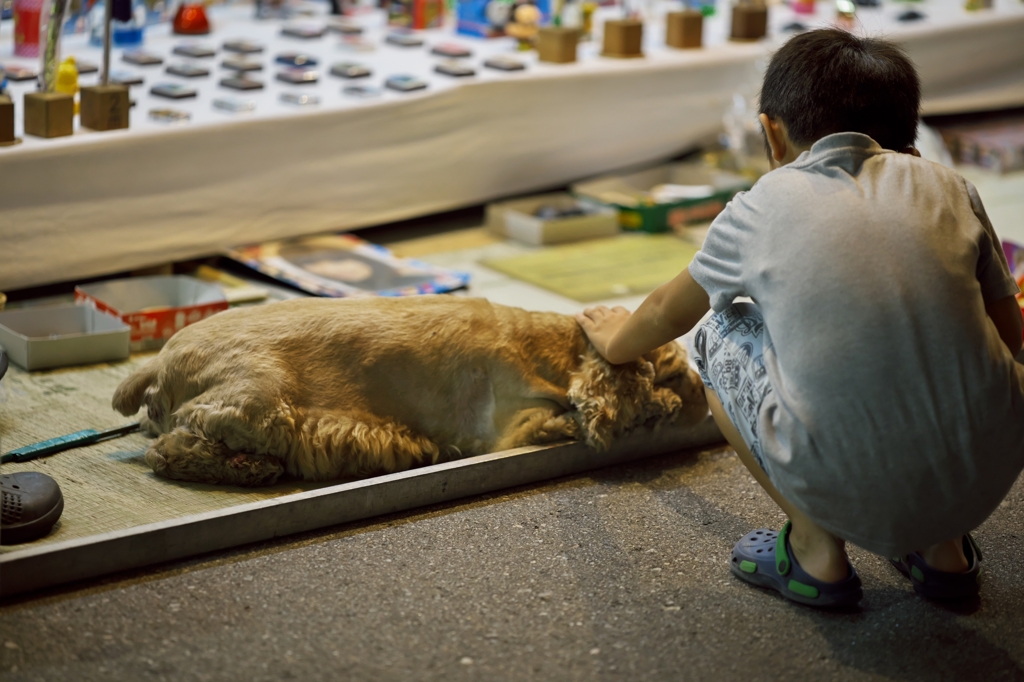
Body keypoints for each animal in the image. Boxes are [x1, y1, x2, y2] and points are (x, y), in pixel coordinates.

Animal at [110, 296, 704, 483]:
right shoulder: (505, 427)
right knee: (171, 447)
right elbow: (547, 424)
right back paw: (246, 467)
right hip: (258, 405)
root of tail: (157, 360)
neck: (555, 348)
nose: (701, 405)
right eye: (674, 373)